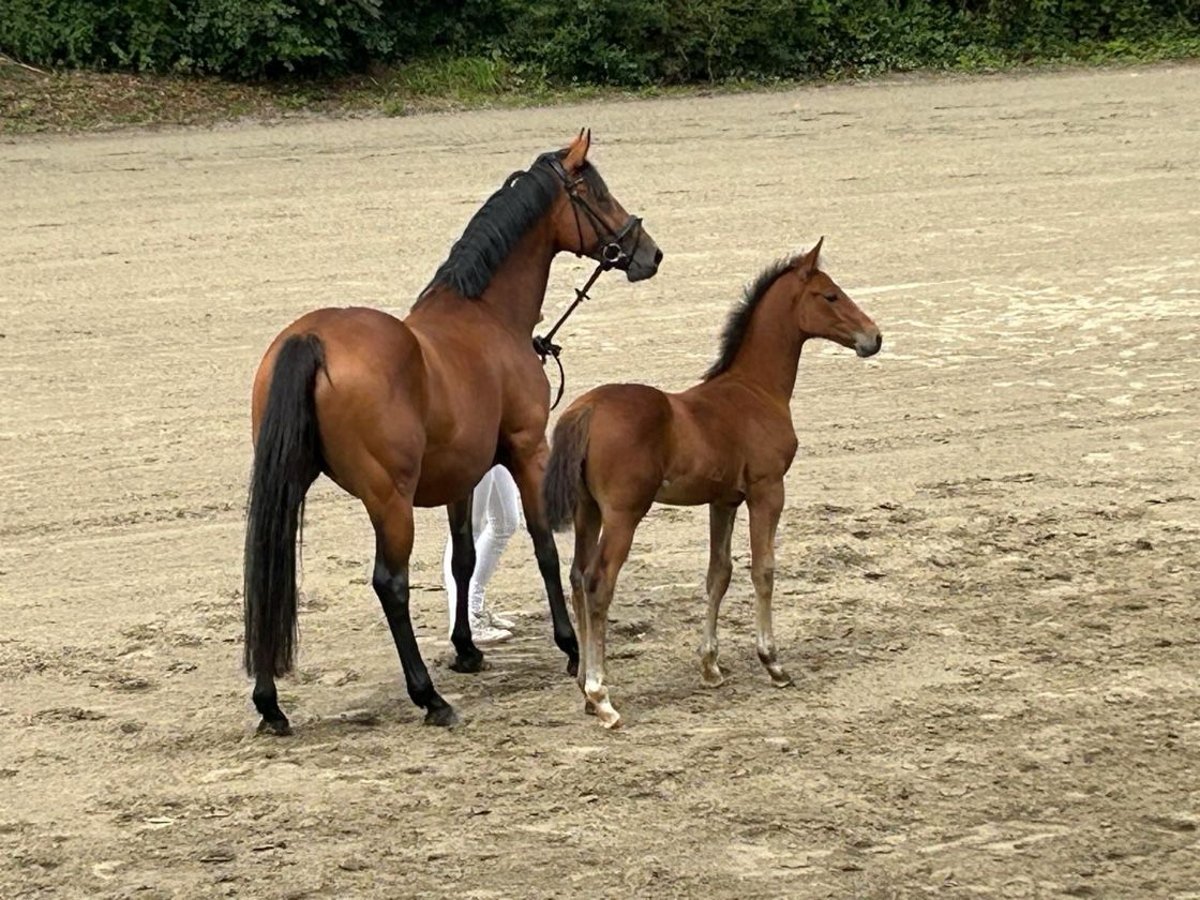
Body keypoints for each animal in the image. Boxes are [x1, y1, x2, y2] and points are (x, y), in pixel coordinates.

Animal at [240, 130, 662, 734]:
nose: (648, 252)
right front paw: (570, 647)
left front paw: (466, 648)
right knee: (390, 584)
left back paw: (270, 703)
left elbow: (463, 558)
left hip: (290, 485)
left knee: (270, 575)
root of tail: (311, 338)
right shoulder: (528, 451)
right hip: (389, 498)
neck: (485, 315)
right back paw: (429, 696)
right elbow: (544, 548)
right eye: (597, 194)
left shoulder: (463, 476)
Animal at [547, 241, 883, 734]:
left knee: (575, 575)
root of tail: (586, 409)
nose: (874, 337)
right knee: (598, 582)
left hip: (586, 509)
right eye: (830, 295)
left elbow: (718, 574)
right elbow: (763, 569)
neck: (755, 390)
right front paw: (773, 662)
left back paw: (585, 693)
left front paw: (710, 666)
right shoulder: (767, 491)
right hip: (624, 514)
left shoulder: (723, 500)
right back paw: (601, 696)